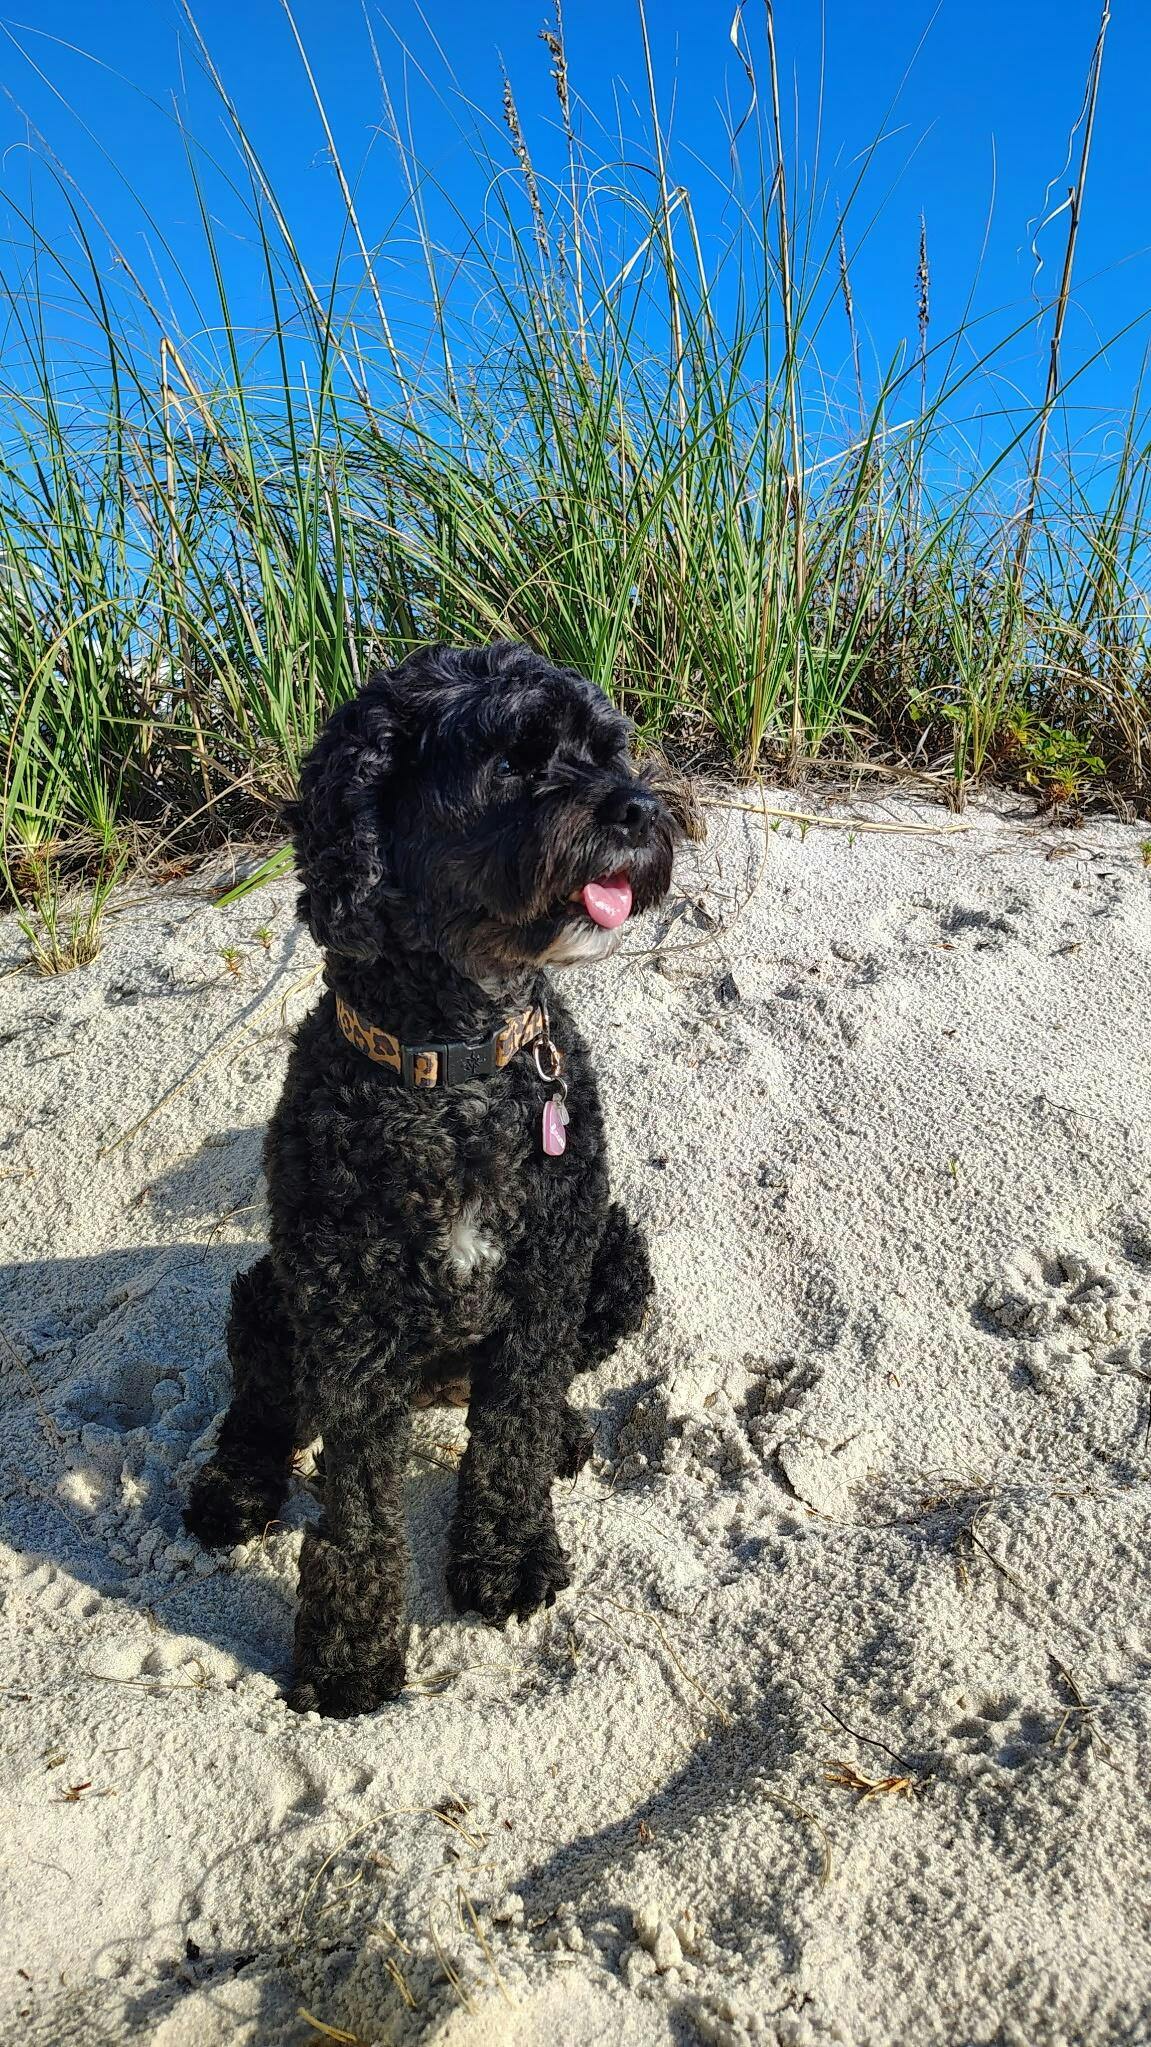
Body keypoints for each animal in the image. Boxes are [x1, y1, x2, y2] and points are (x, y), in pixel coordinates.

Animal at [184, 642, 681, 1716]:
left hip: (614, 1258)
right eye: (514, 759)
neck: (456, 1068)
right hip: (268, 1296)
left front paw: (507, 1556)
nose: (637, 807)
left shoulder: (546, 1277)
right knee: (260, 1409)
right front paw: (347, 1655)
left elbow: (510, 1433)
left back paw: (565, 1428)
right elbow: (358, 1512)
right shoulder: (348, 1322)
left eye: (607, 749)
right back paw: (234, 1489)